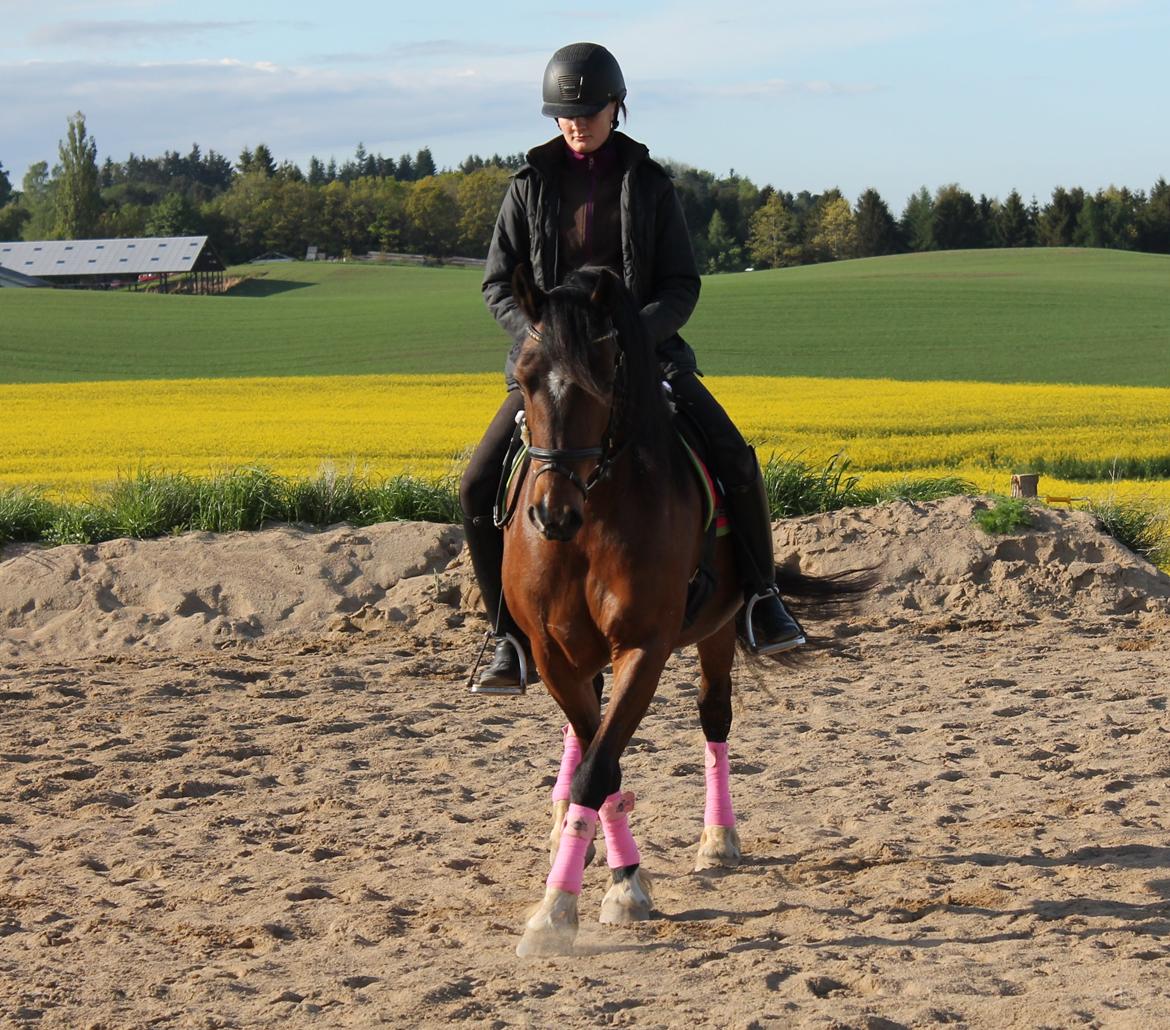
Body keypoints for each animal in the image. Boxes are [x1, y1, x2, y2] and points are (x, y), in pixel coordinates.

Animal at [500, 263, 852, 957]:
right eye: (524, 377)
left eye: (604, 375)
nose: (552, 514)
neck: (592, 520)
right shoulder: (554, 656)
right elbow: (600, 758)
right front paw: (596, 881)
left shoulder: (645, 646)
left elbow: (602, 767)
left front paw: (576, 904)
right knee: (584, 735)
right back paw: (561, 825)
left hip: (718, 627)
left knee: (714, 717)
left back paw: (718, 840)